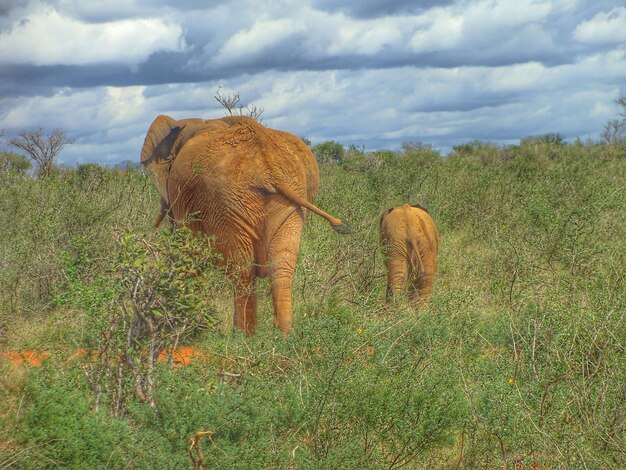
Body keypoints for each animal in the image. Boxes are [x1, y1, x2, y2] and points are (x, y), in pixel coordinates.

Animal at [140, 114, 346, 334]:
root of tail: (269, 163)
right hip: (287, 200)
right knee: (279, 265)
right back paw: (283, 335)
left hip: (225, 204)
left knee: (242, 270)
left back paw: (243, 335)